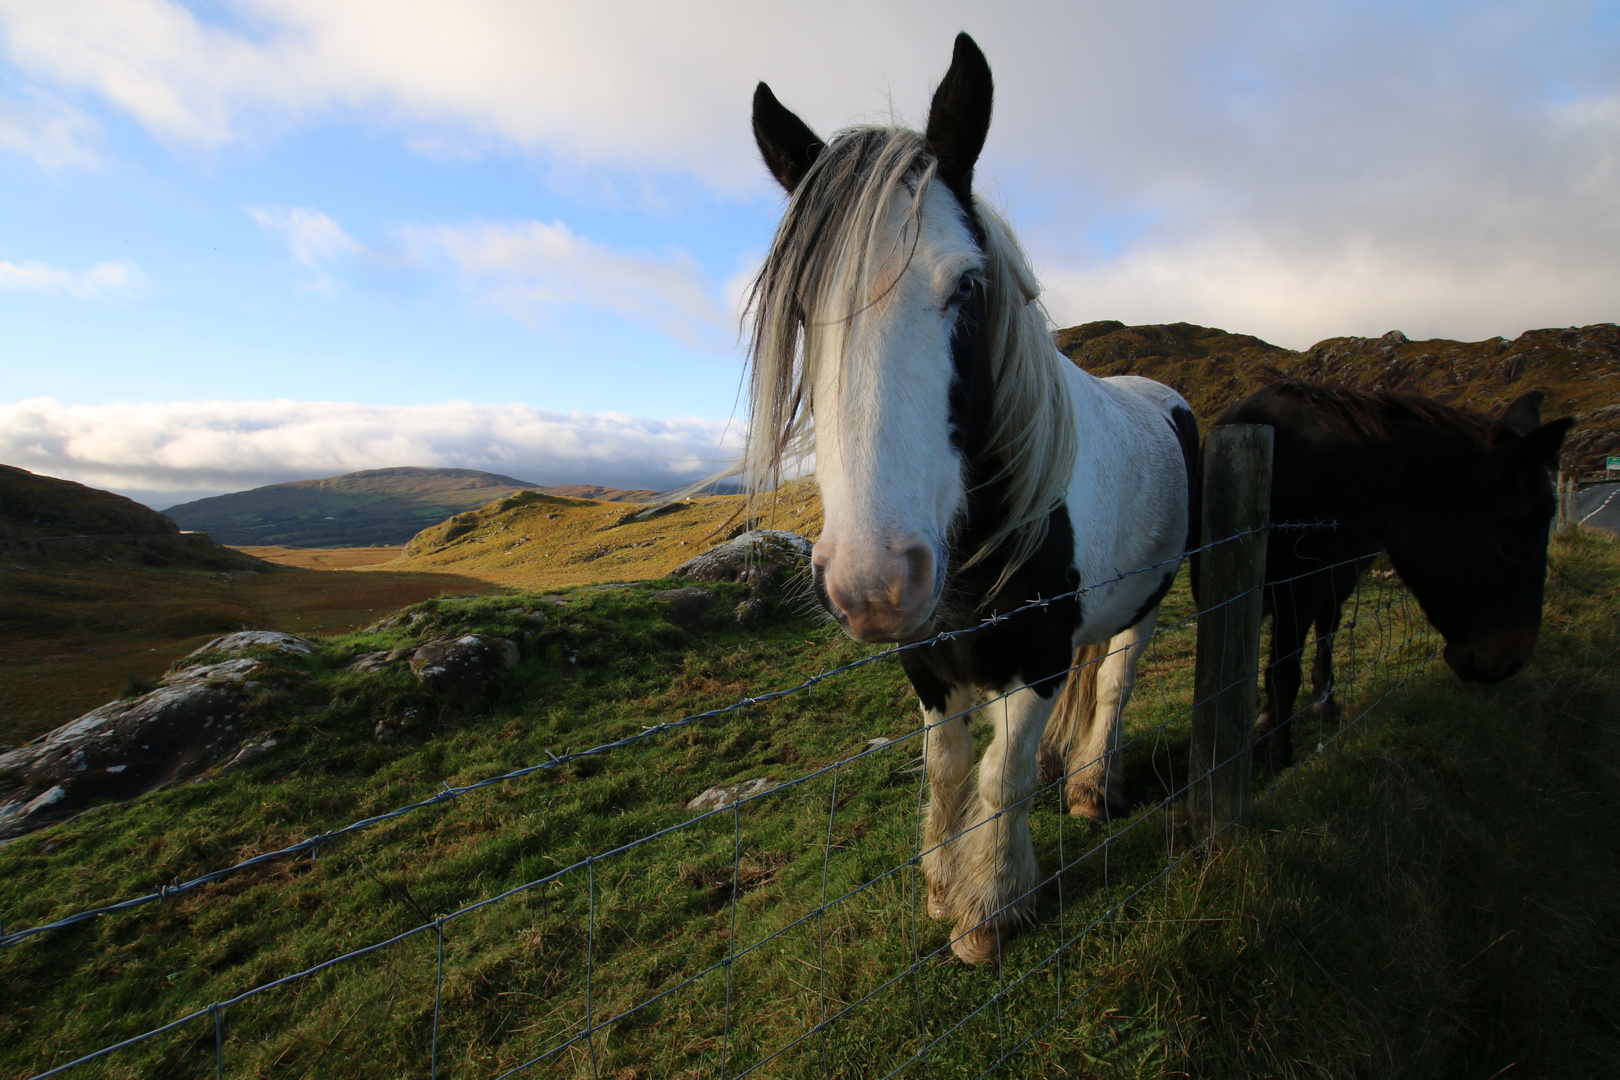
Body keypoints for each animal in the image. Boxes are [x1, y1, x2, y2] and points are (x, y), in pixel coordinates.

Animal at [751, 31, 1198, 965]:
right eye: (804, 311)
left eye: (965, 286)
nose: (874, 582)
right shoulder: (929, 663)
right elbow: (951, 767)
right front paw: (940, 887)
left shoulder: (1036, 656)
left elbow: (1003, 772)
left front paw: (990, 907)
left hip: (1146, 605)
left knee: (1115, 683)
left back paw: (1093, 787)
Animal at [1218, 378, 1568, 767]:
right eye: (1515, 545)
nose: (1512, 661)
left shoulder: (1305, 585)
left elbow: (1285, 671)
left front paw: (1278, 752)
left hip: (1339, 578)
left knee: (1328, 629)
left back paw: (1323, 700)